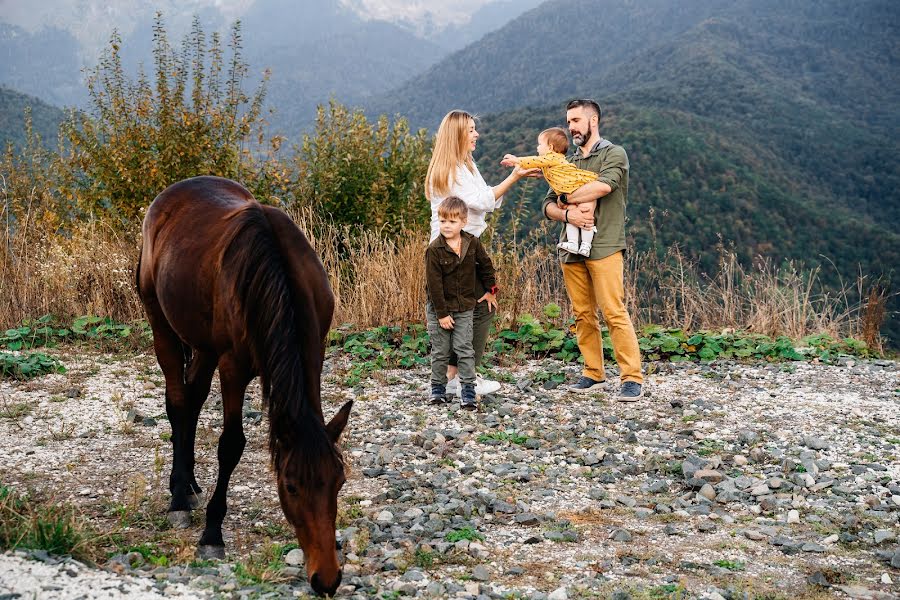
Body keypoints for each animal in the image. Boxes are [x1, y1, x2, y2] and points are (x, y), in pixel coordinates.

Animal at [137, 175, 352, 596]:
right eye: (290, 486)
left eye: (338, 482)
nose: (326, 580)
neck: (277, 279)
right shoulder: (233, 368)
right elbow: (231, 445)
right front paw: (212, 533)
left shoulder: (315, 351)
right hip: (162, 324)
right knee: (177, 402)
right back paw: (178, 497)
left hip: (203, 345)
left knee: (192, 400)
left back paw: (189, 484)